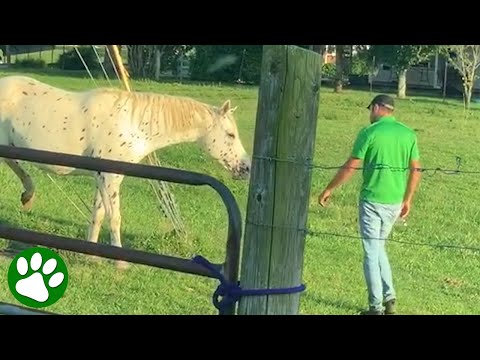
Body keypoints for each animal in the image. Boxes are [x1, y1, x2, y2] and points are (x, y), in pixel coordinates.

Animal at [0, 75, 251, 253]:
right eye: (230, 135)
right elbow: (114, 217)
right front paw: (119, 261)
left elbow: (98, 215)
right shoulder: (110, 178)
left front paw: (90, 254)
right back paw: (28, 194)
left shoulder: (103, 178)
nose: (245, 167)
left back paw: (27, 195)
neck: (133, 124)